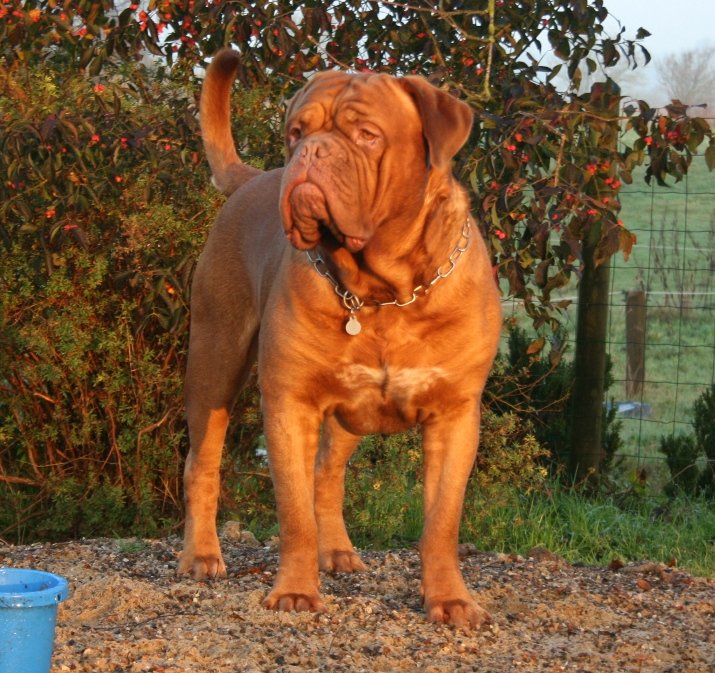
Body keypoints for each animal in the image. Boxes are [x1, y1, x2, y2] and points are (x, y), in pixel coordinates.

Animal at [179, 48, 500, 632]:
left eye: (367, 135)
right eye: (297, 132)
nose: (312, 151)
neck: (383, 293)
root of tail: (253, 179)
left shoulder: (455, 416)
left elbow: (441, 523)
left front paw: (450, 601)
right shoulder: (290, 405)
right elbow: (294, 514)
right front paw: (294, 593)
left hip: (350, 412)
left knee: (328, 472)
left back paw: (337, 551)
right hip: (214, 361)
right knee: (203, 464)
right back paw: (201, 556)